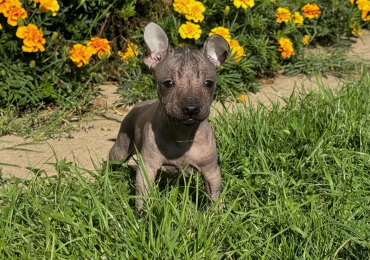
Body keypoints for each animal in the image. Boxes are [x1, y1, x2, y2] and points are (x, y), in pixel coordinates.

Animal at [108, 22, 230, 209]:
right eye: (168, 84)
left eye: (209, 83)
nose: (191, 108)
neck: (182, 133)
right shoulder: (147, 169)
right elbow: (143, 197)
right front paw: (144, 214)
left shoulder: (211, 172)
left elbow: (214, 198)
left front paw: (215, 214)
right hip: (121, 146)